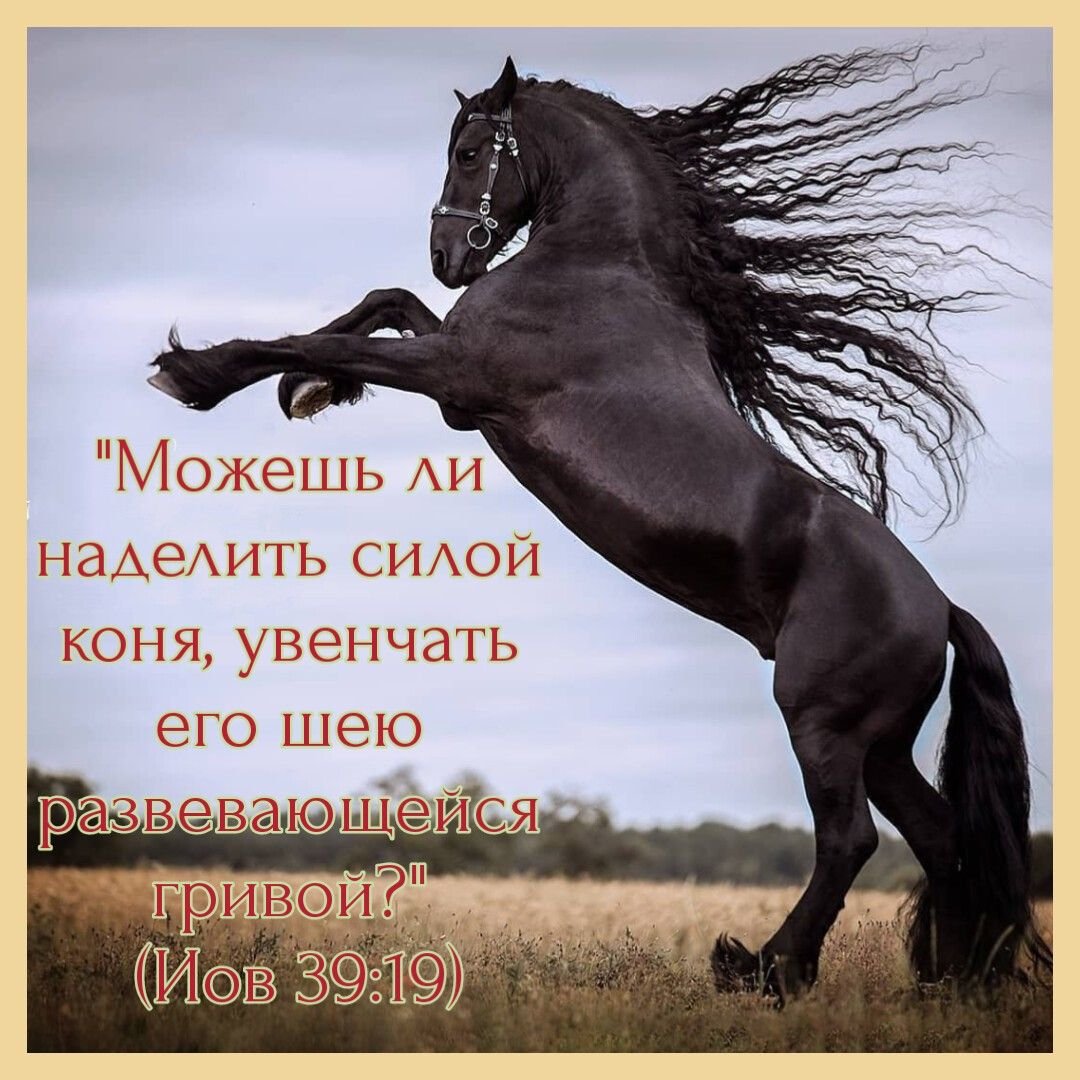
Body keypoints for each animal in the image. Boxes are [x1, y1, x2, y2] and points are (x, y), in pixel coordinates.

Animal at [147, 48, 1050, 999]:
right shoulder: (458, 392)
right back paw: (945, 982)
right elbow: (379, 304)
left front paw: (199, 372)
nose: (447, 255)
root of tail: (940, 609)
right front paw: (308, 394)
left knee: (851, 840)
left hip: (823, 721)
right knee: (941, 838)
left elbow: (323, 337)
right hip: (881, 744)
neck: (595, 265)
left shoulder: (457, 372)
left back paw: (761, 969)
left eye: (470, 151)